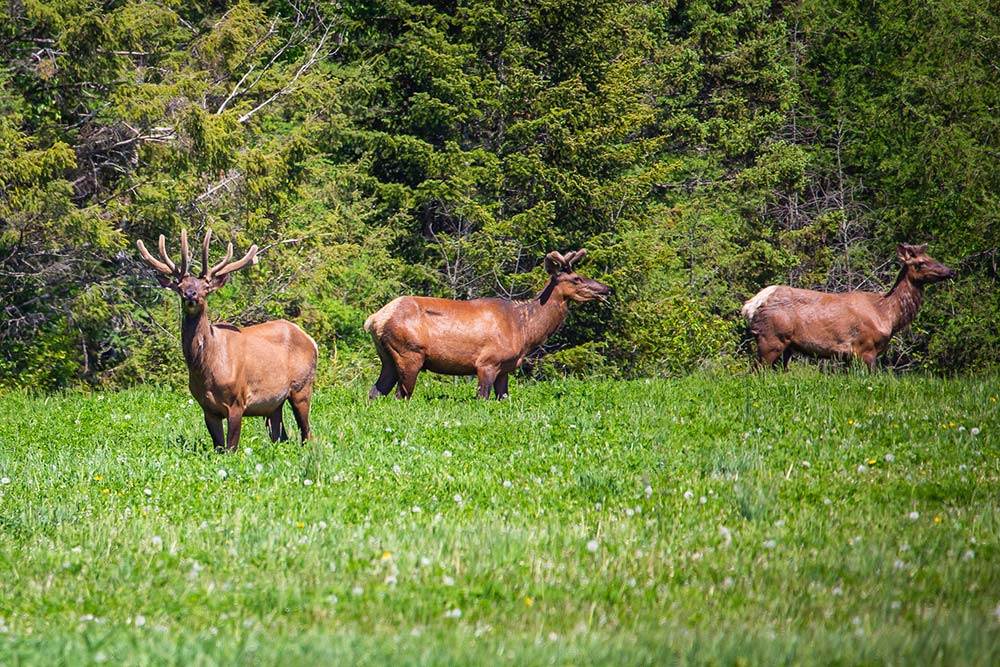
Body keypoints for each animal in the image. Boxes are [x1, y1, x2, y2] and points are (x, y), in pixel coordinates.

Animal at [137, 229, 318, 452]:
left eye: (206, 287)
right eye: (180, 286)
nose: (190, 294)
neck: (206, 369)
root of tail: (310, 339)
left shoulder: (237, 400)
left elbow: (231, 448)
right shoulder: (207, 408)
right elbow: (219, 447)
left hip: (302, 386)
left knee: (307, 433)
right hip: (274, 403)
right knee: (280, 435)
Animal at [364, 249, 611, 400]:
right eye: (577, 278)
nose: (607, 289)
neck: (524, 330)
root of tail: (373, 319)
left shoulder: (505, 368)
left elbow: (504, 398)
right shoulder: (487, 363)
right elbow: (482, 398)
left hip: (388, 358)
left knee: (374, 392)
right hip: (409, 354)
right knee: (400, 395)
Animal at [742, 243, 956, 370]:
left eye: (933, 257)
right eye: (921, 262)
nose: (951, 271)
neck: (888, 315)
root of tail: (750, 306)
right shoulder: (866, 348)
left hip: (786, 346)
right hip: (771, 339)